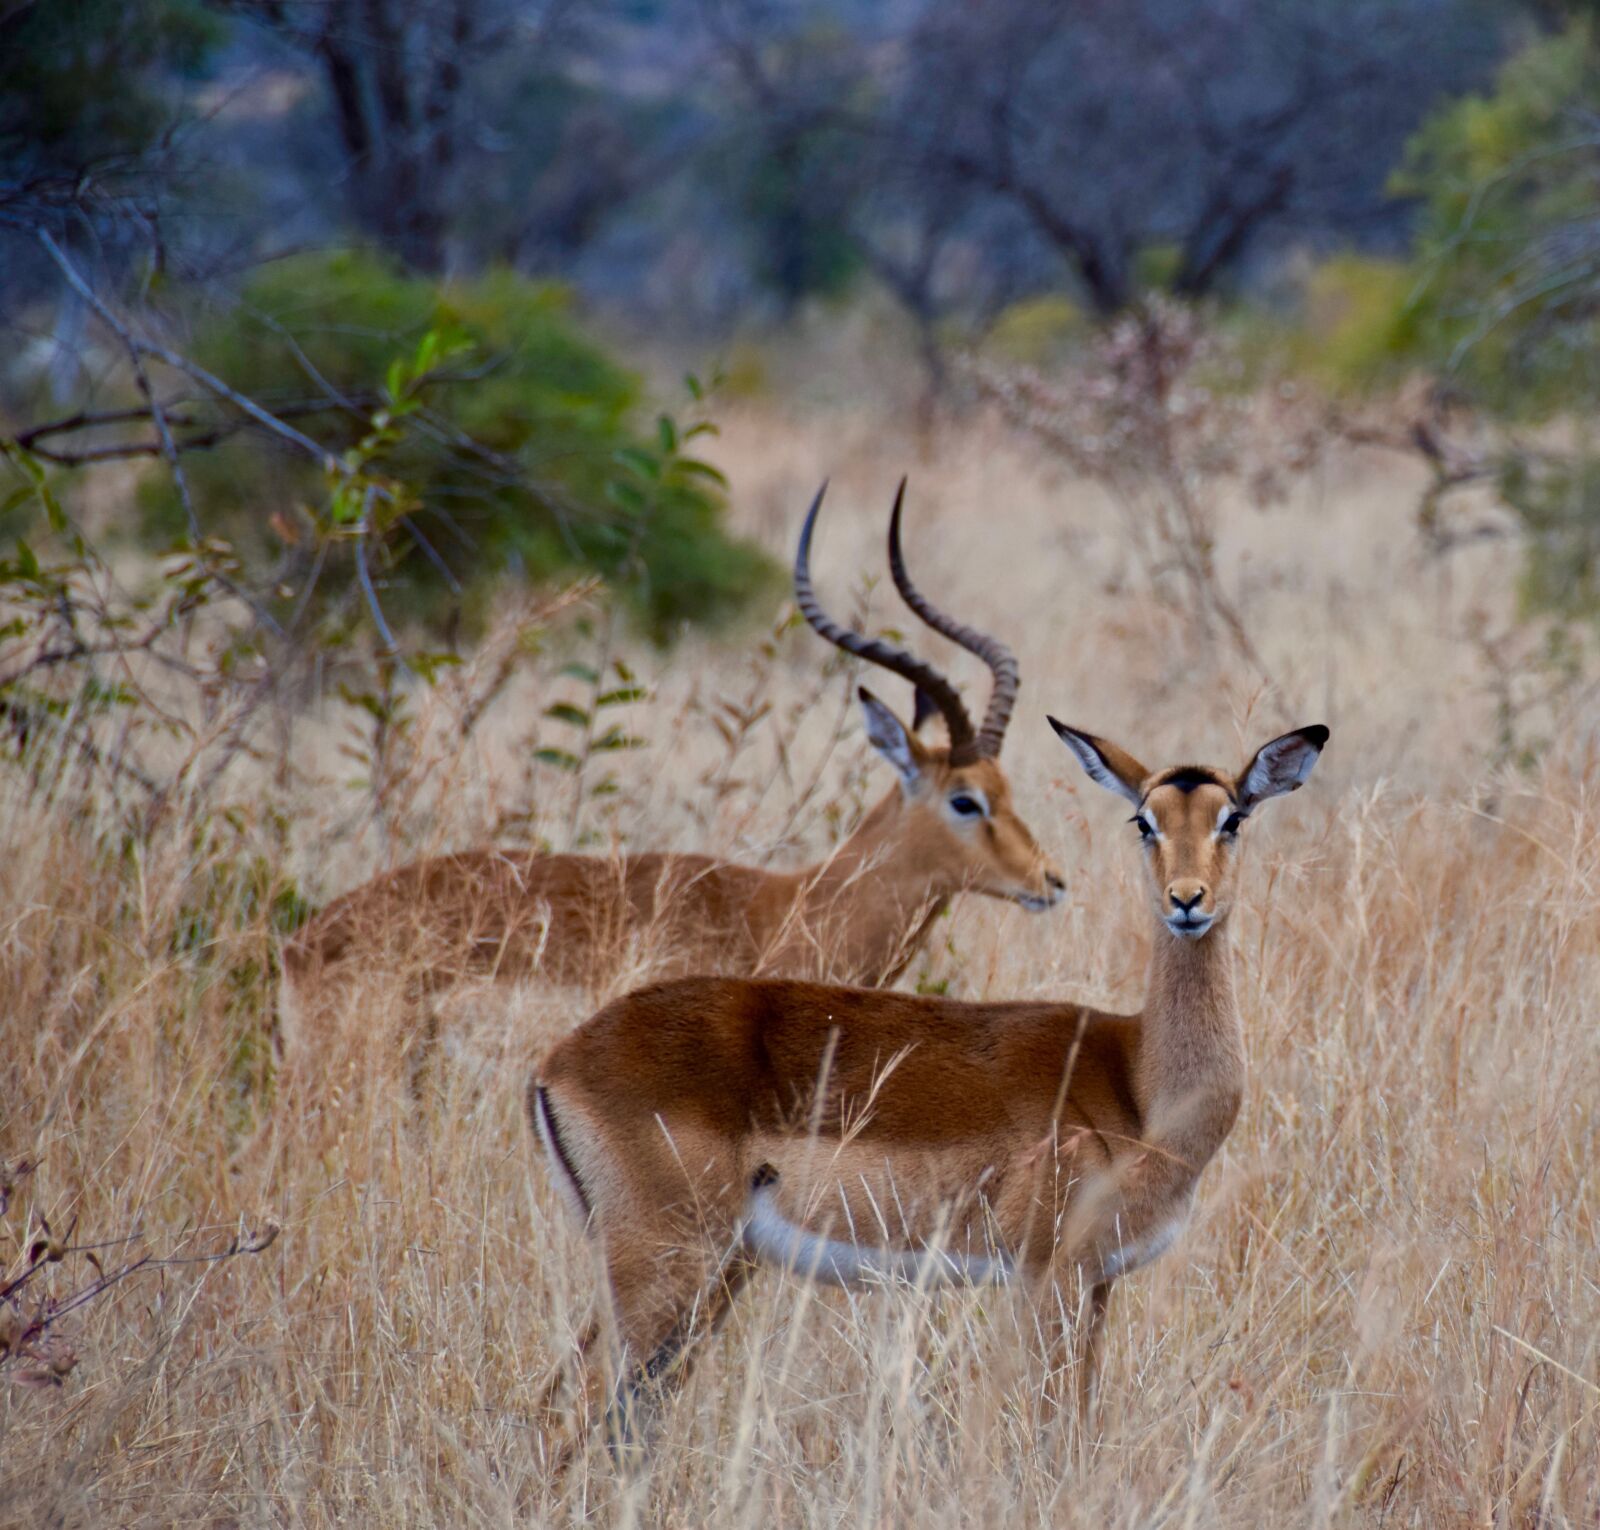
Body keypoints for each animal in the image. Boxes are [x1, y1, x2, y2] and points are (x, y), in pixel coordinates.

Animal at [529, 716, 1328, 1448]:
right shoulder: (1050, 1276)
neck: (1138, 1082)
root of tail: (557, 1063)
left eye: (1233, 817)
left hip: (706, 1276)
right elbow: (1049, 1429)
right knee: (567, 1409)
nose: (1187, 900)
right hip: (666, 1266)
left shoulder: (1097, 1283)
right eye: (1144, 819)